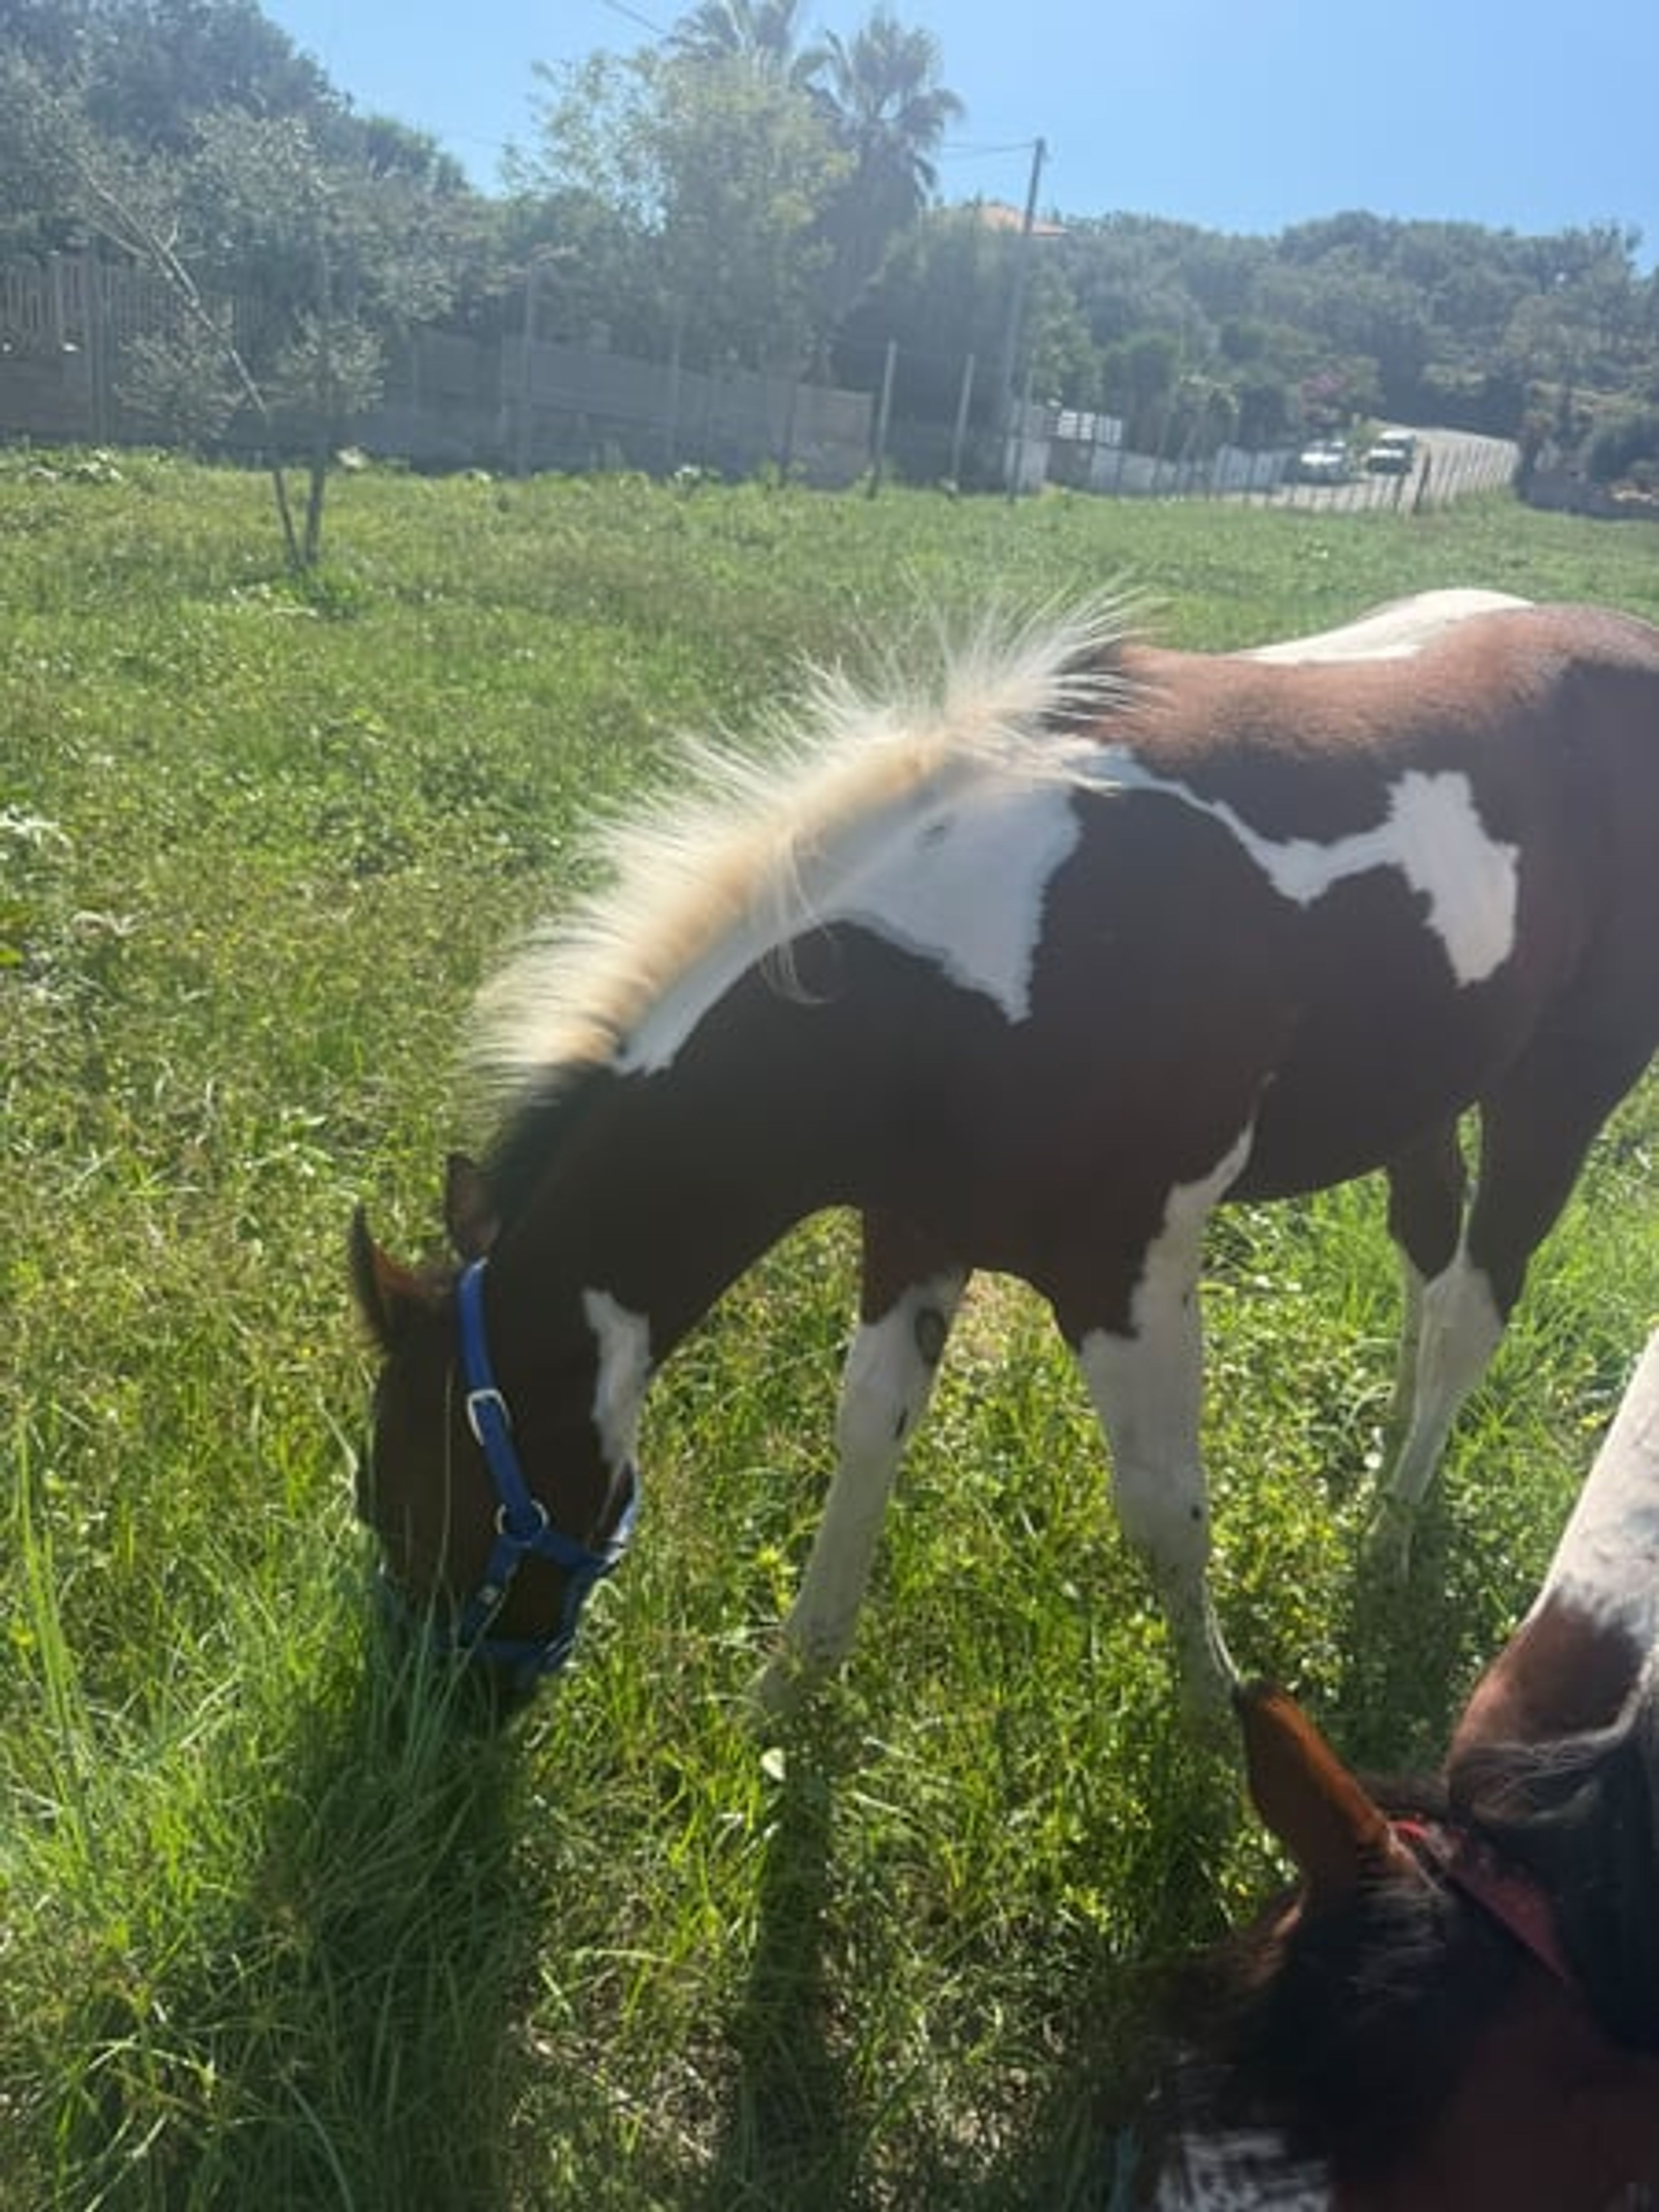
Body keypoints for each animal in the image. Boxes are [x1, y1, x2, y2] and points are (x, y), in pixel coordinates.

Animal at [349, 588, 1659, 1720]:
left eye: (421, 1501)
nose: (435, 1717)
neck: (964, 968)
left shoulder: (1127, 1271)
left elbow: (1162, 1507)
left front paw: (1215, 1716)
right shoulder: (914, 1232)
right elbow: (865, 1429)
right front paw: (789, 1682)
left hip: (1560, 1088)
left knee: (1471, 1308)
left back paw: (1389, 1535)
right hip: (1427, 1093)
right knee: (1424, 1269)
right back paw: (1387, 1471)